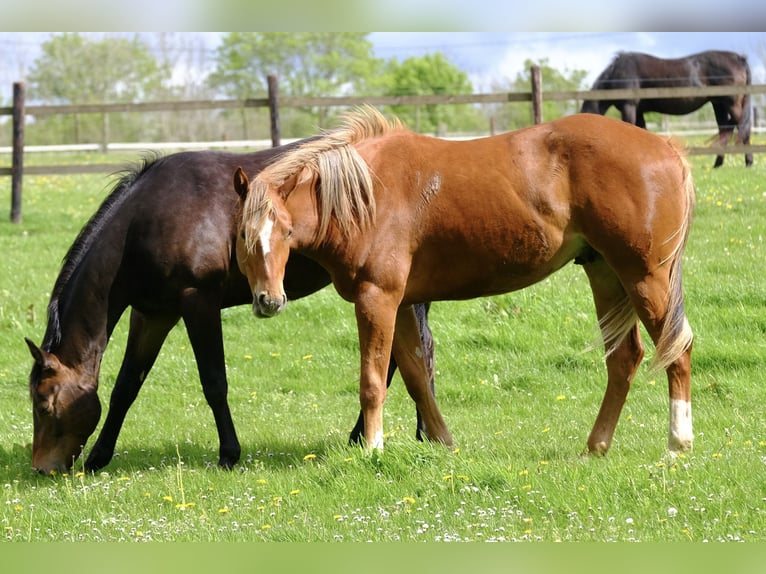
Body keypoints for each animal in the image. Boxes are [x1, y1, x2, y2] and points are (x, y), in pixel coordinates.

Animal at [25, 145, 438, 476]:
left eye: (44, 405)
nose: (43, 468)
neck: (145, 223)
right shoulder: (153, 314)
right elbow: (127, 385)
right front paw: (99, 457)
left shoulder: (198, 302)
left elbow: (214, 382)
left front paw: (228, 454)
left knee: (412, 356)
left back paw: (412, 434)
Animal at [237, 107, 700, 460]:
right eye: (244, 235)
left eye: (284, 230)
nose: (267, 300)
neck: (368, 194)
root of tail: (667, 148)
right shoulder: (401, 304)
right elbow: (416, 376)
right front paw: (443, 443)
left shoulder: (376, 298)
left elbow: (372, 381)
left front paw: (372, 449)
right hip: (605, 272)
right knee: (624, 358)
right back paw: (596, 447)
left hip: (645, 277)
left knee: (677, 350)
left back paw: (677, 445)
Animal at [584, 50, 756, 169]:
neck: (617, 73)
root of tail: (739, 58)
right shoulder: (639, 111)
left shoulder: (630, 106)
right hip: (718, 103)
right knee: (725, 129)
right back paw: (718, 164)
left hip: (732, 103)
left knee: (743, 128)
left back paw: (748, 162)